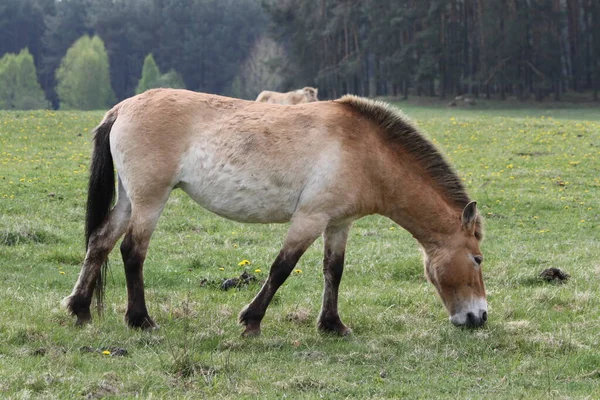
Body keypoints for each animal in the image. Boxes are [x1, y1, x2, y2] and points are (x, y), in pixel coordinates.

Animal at [64, 89, 488, 336]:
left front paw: (332, 325)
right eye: (478, 259)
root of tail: (122, 108)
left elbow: (333, 271)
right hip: (150, 199)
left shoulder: (338, 223)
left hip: (130, 199)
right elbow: (281, 268)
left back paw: (80, 309)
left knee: (100, 242)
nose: (479, 317)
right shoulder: (309, 219)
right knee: (132, 252)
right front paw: (251, 320)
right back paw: (140, 320)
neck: (366, 152)